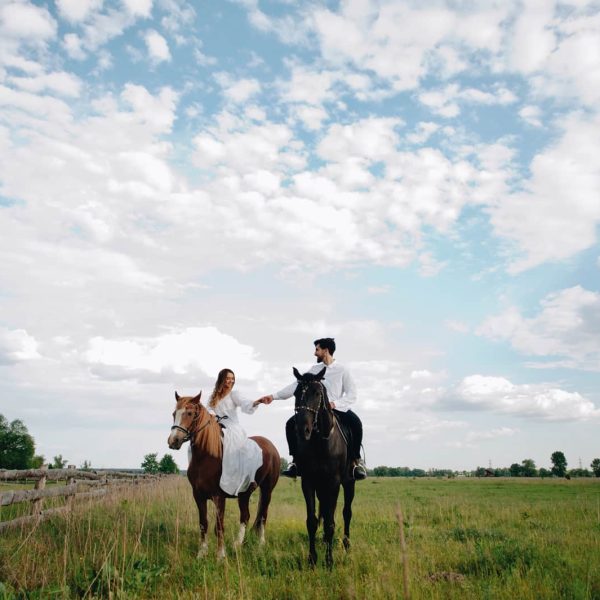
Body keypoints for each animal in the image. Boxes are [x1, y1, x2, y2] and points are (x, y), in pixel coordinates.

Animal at [168, 392, 280, 560]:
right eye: (174, 413)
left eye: (190, 413)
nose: (173, 441)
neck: (207, 456)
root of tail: (271, 446)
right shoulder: (198, 496)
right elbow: (203, 523)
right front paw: (202, 553)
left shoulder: (218, 497)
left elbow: (219, 525)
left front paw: (220, 555)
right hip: (244, 494)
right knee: (245, 516)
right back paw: (238, 544)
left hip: (267, 491)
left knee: (262, 516)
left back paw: (260, 545)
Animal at [292, 366, 354, 568]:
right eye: (296, 393)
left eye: (317, 393)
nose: (302, 430)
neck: (320, 442)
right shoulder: (308, 482)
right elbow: (313, 521)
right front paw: (312, 559)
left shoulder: (333, 483)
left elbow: (330, 523)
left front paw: (329, 561)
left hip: (348, 483)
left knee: (346, 513)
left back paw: (346, 545)